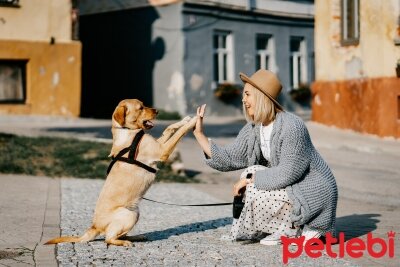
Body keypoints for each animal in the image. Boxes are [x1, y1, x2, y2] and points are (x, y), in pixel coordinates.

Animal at [44, 99, 198, 248]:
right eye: (140, 108)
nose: (157, 111)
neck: (127, 132)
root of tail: (94, 227)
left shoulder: (158, 144)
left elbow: (169, 128)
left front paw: (184, 120)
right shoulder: (161, 151)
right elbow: (179, 133)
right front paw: (193, 121)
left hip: (135, 213)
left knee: (119, 235)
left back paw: (137, 237)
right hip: (128, 214)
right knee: (108, 238)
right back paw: (124, 242)